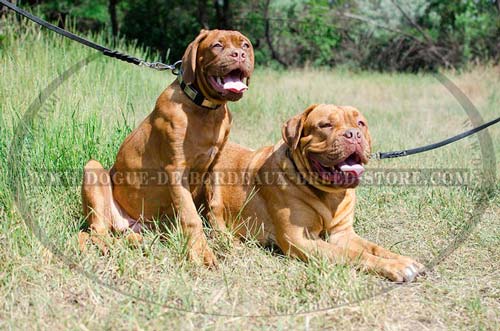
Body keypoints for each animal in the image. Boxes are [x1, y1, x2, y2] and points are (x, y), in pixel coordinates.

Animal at [81, 29, 256, 268]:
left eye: (245, 45)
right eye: (217, 45)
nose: (239, 54)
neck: (206, 110)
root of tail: (132, 223)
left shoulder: (214, 167)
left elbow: (215, 206)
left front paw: (224, 239)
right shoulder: (176, 170)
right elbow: (191, 217)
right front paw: (201, 253)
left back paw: (138, 242)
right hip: (94, 171)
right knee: (95, 231)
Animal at [207, 105, 426, 282]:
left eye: (361, 123)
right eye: (325, 125)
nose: (354, 134)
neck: (329, 194)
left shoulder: (342, 233)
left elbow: (373, 247)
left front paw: (402, 259)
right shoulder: (299, 239)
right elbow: (352, 254)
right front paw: (396, 266)